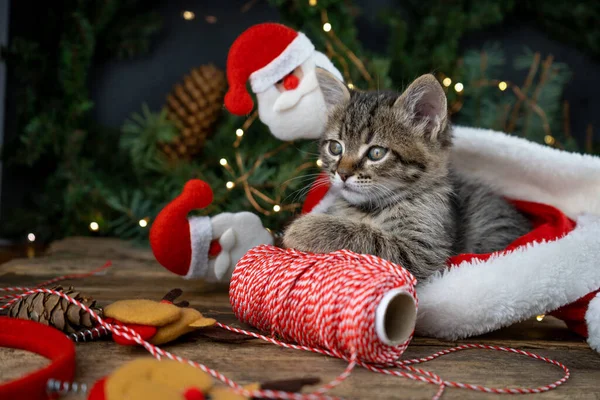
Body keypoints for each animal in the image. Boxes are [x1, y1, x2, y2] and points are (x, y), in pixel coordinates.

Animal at [282, 71, 528, 282]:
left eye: (376, 153)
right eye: (335, 148)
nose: (342, 174)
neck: (368, 208)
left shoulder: (422, 250)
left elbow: (370, 237)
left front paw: (305, 229)